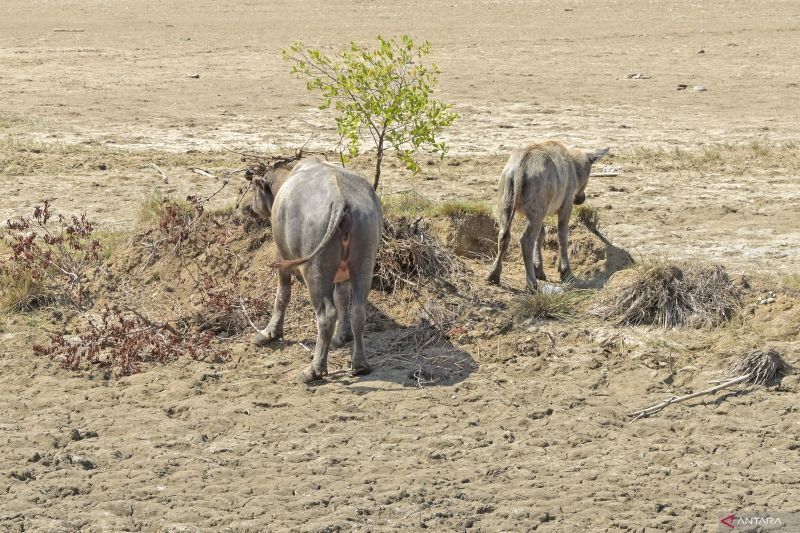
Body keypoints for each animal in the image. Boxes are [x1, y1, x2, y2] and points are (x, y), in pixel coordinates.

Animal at [245, 154, 382, 382]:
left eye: (254, 189)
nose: (246, 208)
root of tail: (341, 200)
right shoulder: (343, 275)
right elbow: (342, 299)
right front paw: (342, 336)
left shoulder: (282, 256)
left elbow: (282, 294)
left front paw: (270, 332)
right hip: (364, 265)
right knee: (358, 312)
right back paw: (360, 364)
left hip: (315, 271)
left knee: (326, 316)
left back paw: (314, 370)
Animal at [484, 140, 608, 290]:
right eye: (589, 172)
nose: (581, 198)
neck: (574, 168)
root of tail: (520, 167)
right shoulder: (566, 205)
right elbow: (562, 236)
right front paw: (565, 272)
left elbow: (541, 235)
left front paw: (539, 269)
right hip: (535, 211)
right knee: (526, 240)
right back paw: (531, 283)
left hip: (508, 205)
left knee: (504, 236)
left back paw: (493, 274)